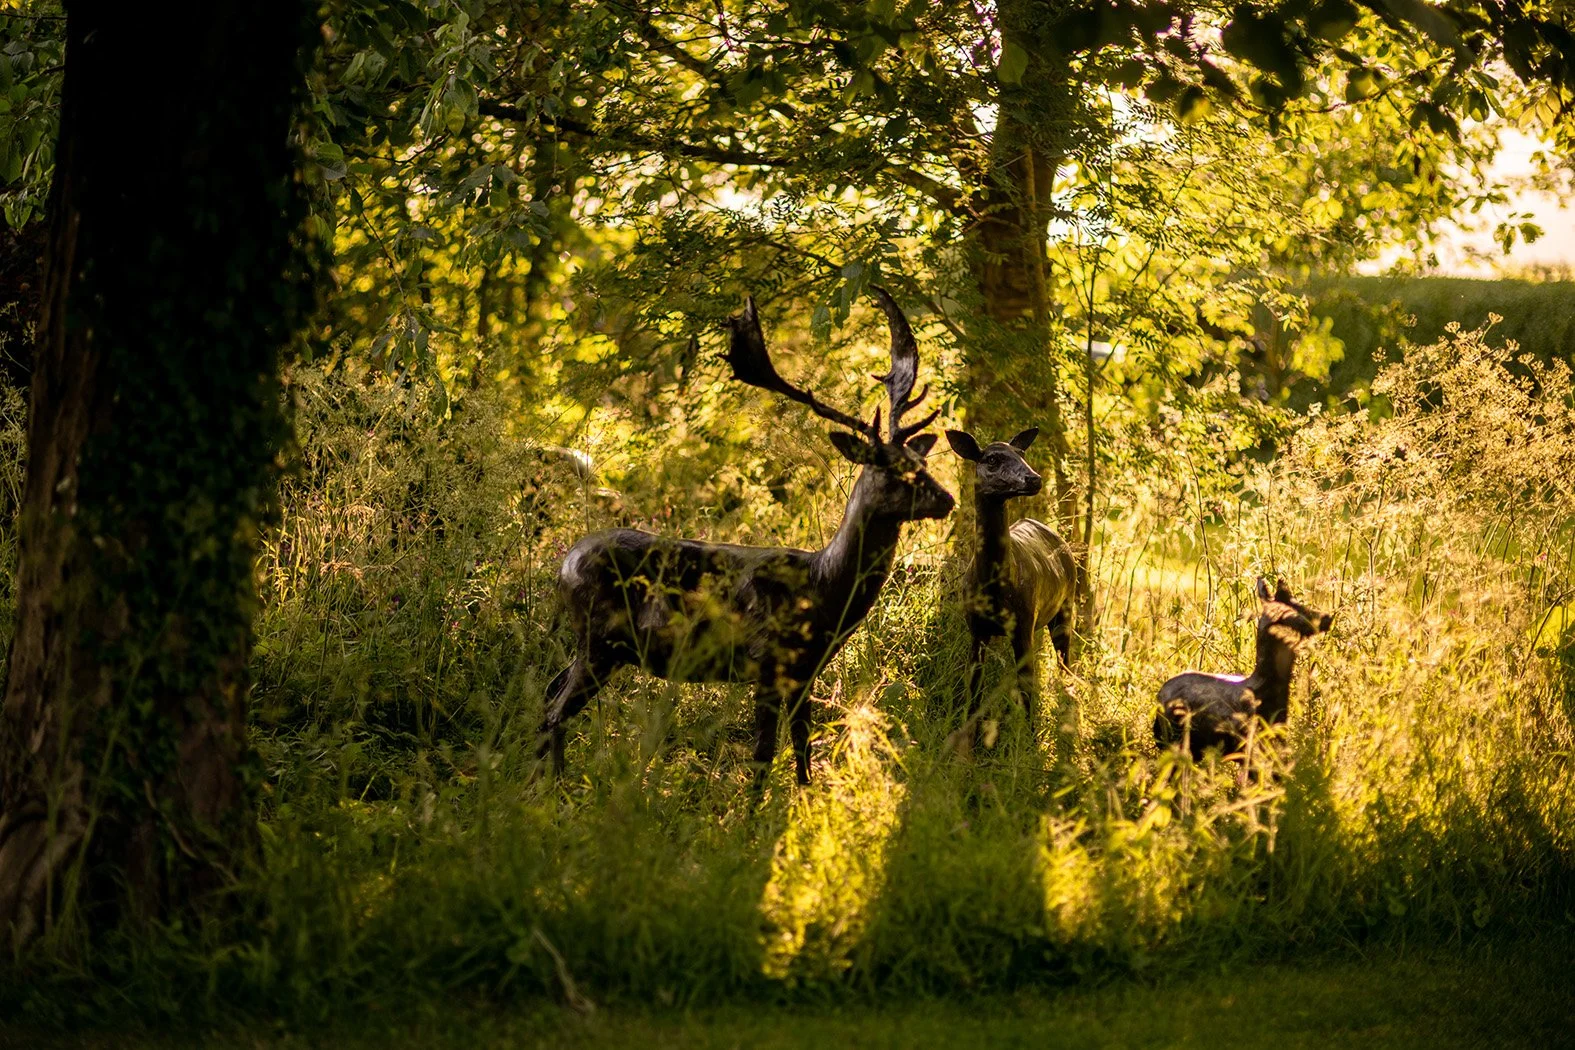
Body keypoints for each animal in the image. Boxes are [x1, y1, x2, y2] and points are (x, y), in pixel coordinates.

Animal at [537, 288, 955, 787]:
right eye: (892, 468)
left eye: (921, 461)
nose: (947, 498)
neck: (823, 588)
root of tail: (563, 566)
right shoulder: (766, 661)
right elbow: (763, 755)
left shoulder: (805, 671)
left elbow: (802, 748)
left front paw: (804, 801)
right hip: (600, 640)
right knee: (557, 711)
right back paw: (557, 790)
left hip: (594, 644)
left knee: (548, 695)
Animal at [944, 427, 1078, 742]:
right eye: (992, 459)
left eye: (1022, 453)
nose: (1034, 479)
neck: (995, 587)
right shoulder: (976, 629)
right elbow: (974, 685)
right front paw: (971, 734)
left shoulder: (1023, 624)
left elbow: (1027, 686)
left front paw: (1030, 740)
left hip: (1065, 608)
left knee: (1064, 663)